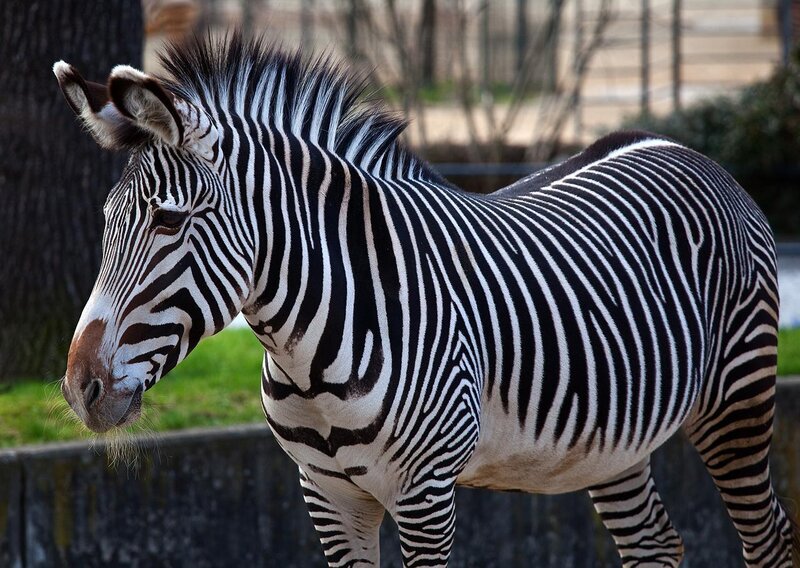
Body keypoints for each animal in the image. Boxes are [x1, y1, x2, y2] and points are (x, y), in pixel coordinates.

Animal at [55, 35, 798, 567]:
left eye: (168, 222)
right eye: (105, 221)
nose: (79, 387)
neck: (309, 352)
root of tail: (676, 145)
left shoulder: (426, 494)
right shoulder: (327, 496)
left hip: (736, 398)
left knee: (769, 538)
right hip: (611, 440)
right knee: (654, 544)